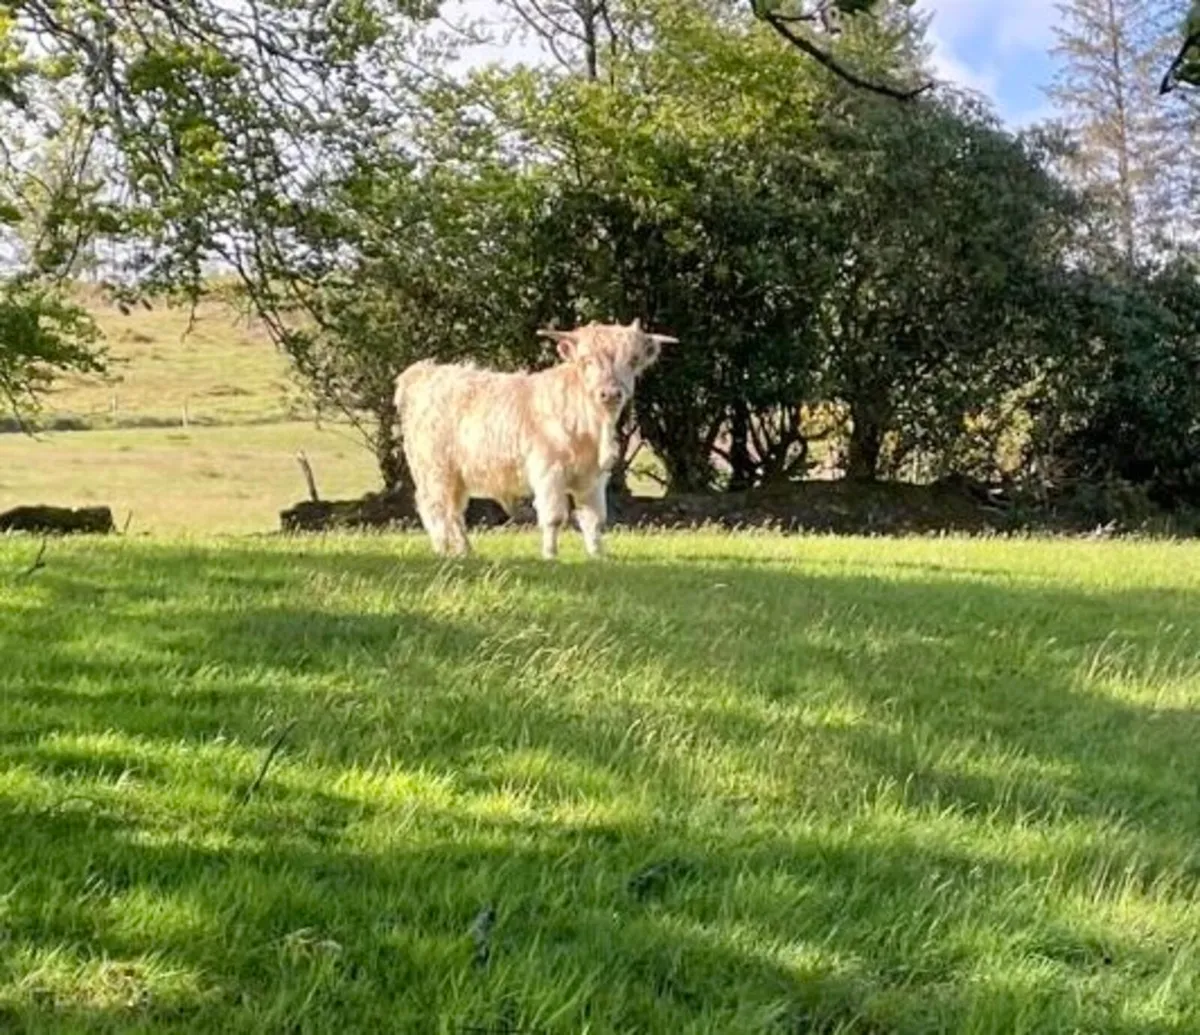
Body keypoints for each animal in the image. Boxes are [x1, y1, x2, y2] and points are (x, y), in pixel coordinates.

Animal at [393, 319, 675, 559]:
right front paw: (550, 556)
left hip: (456, 475)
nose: (610, 393)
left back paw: (466, 551)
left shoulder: (593, 478)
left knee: (454, 512)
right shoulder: (549, 471)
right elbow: (554, 517)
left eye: (633, 360)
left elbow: (594, 519)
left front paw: (598, 556)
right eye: (586, 360)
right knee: (435, 508)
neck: (590, 425)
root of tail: (425, 371)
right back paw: (442, 551)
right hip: (433, 470)